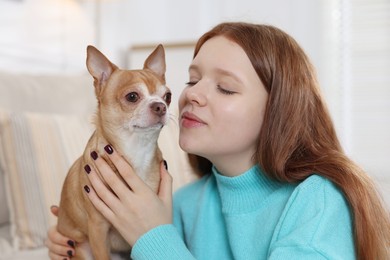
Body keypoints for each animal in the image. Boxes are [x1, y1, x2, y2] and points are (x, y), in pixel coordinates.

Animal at [56, 43, 171, 258]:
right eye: (132, 96)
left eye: (168, 96)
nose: (160, 106)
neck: (136, 151)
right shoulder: (98, 227)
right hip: (82, 247)